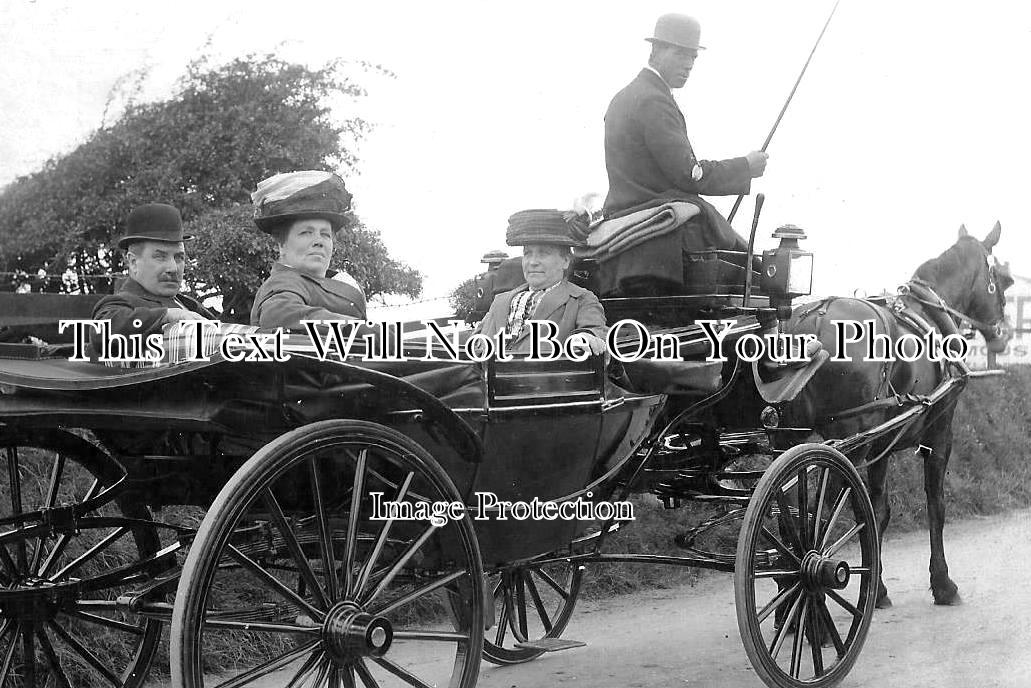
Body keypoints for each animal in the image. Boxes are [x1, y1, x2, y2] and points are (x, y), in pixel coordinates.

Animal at [783, 221, 1010, 606]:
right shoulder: (940, 432)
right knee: (819, 514)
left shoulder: (882, 444)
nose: (1001, 335)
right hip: (847, 442)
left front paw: (877, 588)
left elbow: (876, 512)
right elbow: (936, 505)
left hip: (789, 435)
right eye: (997, 278)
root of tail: (812, 324)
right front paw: (943, 583)